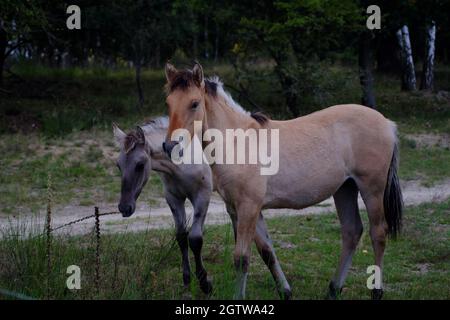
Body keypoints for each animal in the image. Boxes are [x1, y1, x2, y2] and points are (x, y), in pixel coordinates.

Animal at [110, 119, 290, 298]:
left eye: (140, 164)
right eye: (118, 165)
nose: (125, 207)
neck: (181, 158)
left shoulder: (202, 195)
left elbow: (195, 239)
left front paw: (205, 284)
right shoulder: (173, 198)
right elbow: (181, 236)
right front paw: (187, 280)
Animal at [163, 62, 404, 300]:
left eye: (194, 103)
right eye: (168, 102)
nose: (169, 146)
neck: (237, 142)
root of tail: (387, 123)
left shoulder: (249, 207)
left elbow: (242, 258)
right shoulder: (238, 209)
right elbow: (266, 251)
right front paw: (285, 291)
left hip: (371, 189)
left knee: (378, 233)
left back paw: (376, 292)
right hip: (345, 188)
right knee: (352, 232)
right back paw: (333, 289)